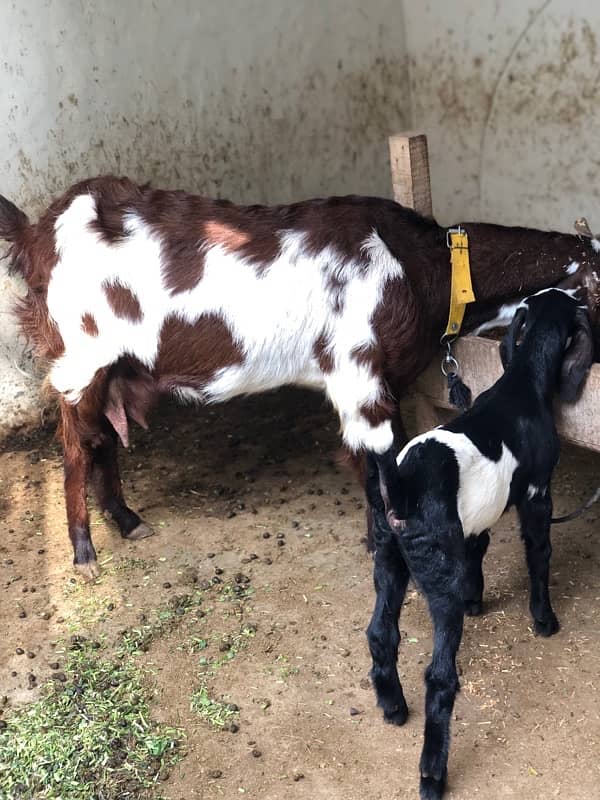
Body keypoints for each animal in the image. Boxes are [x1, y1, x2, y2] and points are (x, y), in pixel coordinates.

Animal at [0, 175, 596, 580]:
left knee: (103, 436)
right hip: (80, 356)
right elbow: (379, 464)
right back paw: (83, 552)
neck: (423, 266)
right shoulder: (360, 375)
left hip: (111, 367)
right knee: (75, 446)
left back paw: (125, 520)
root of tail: (35, 233)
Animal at [366, 290, 596, 800]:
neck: (522, 383)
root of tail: (403, 486)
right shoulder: (537, 497)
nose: (580, 292)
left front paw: (477, 601)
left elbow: (480, 550)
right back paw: (432, 774)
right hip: (437, 576)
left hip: (388, 557)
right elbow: (538, 556)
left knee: (380, 633)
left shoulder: (474, 522)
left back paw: (393, 708)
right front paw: (544, 620)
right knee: (440, 677)